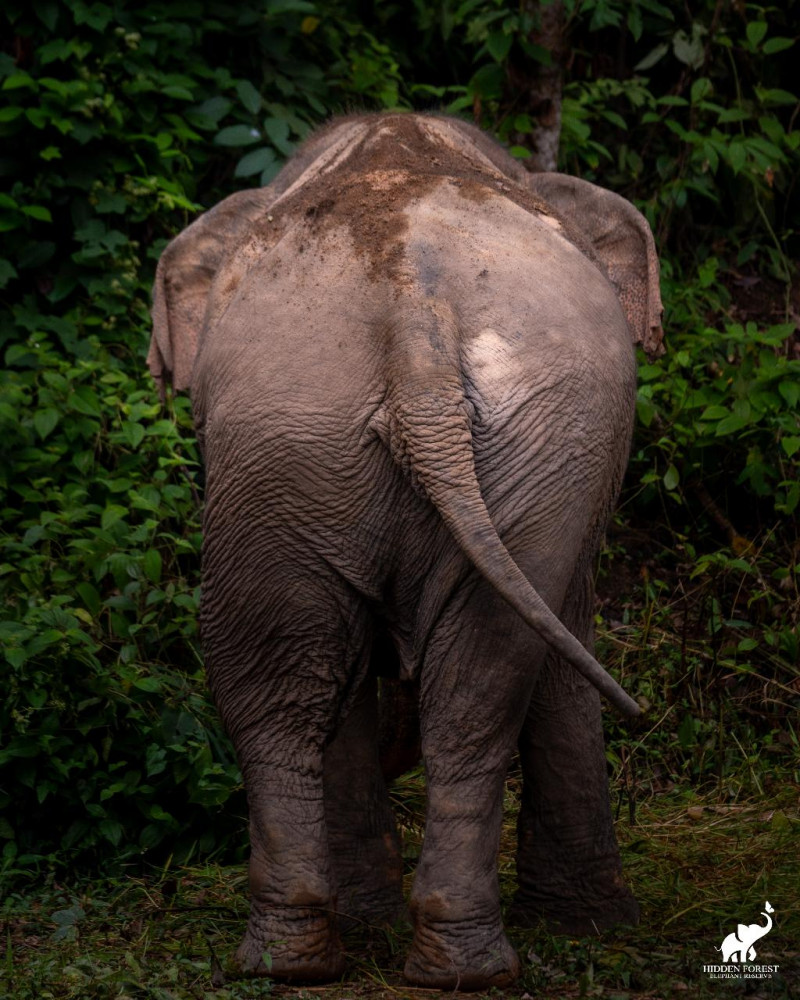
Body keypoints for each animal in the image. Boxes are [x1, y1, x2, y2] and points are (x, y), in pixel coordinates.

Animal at [148, 112, 664, 990]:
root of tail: (411, 320)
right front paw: (597, 926)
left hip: (308, 436)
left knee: (324, 678)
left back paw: (330, 961)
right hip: (314, 437)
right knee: (426, 680)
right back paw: (391, 959)